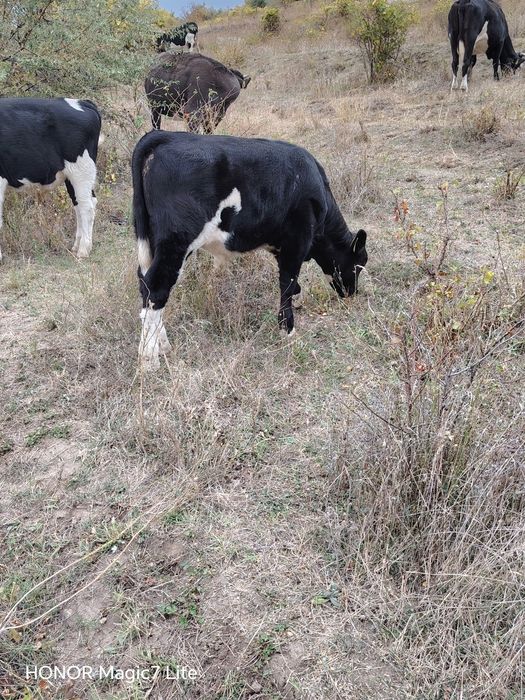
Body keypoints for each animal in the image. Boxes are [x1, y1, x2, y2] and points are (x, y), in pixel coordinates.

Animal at [0, 98, 101, 261]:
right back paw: (77, 246)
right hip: (72, 176)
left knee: (86, 206)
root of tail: (81, 102)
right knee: (80, 204)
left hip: (81, 170)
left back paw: (83, 250)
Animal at [132, 131, 369, 369]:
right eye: (358, 265)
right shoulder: (297, 242)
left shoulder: (280, 245)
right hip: (176, 242)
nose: (351, 293)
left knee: (146, 285)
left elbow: (293, 286)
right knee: (157, 288)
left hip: (152, 242)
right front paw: (288, 331)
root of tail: (165, 135)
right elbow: (287, 284)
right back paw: (149, 360)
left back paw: (161, 345)